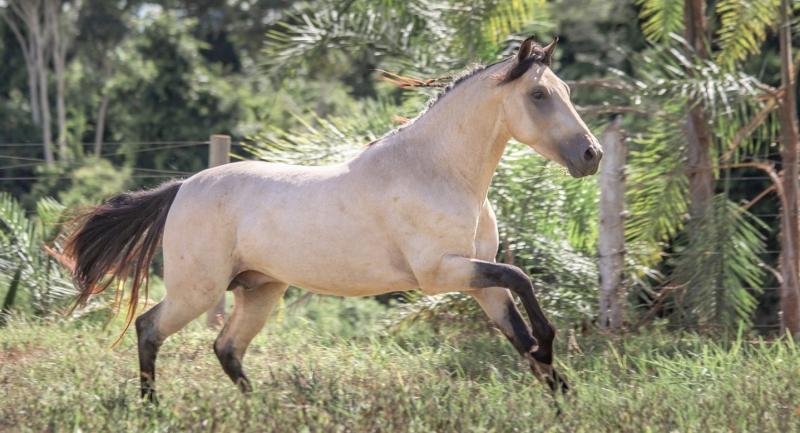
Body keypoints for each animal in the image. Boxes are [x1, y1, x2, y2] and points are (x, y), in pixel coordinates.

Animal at [62, 37, 600, 402]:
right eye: (538, 96)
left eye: (566, 89)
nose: (591, 155)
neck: (437, 171)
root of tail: (182, 188)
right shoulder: (441, 273)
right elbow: (522, 279)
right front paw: (550, 348)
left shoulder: (478, 282)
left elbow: (519, 331)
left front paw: (562, 394)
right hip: (197, 290)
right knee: (150, 329)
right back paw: (152, 407)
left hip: (260, 290)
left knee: (227, 348)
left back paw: (257, 408)